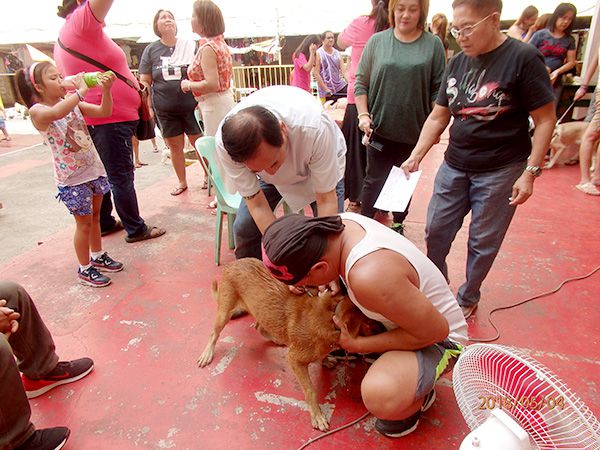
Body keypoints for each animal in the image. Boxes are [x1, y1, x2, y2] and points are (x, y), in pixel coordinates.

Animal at [199, 256, 382, 428]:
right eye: (371, 323)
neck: (330, 317)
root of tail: (232, 264)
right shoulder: (294, 359)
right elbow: (310, 390)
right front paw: (317, 416)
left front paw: (325, 359)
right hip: (224, 312)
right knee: (214, 333)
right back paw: (207, 354)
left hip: (261, 311)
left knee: (259, 326)